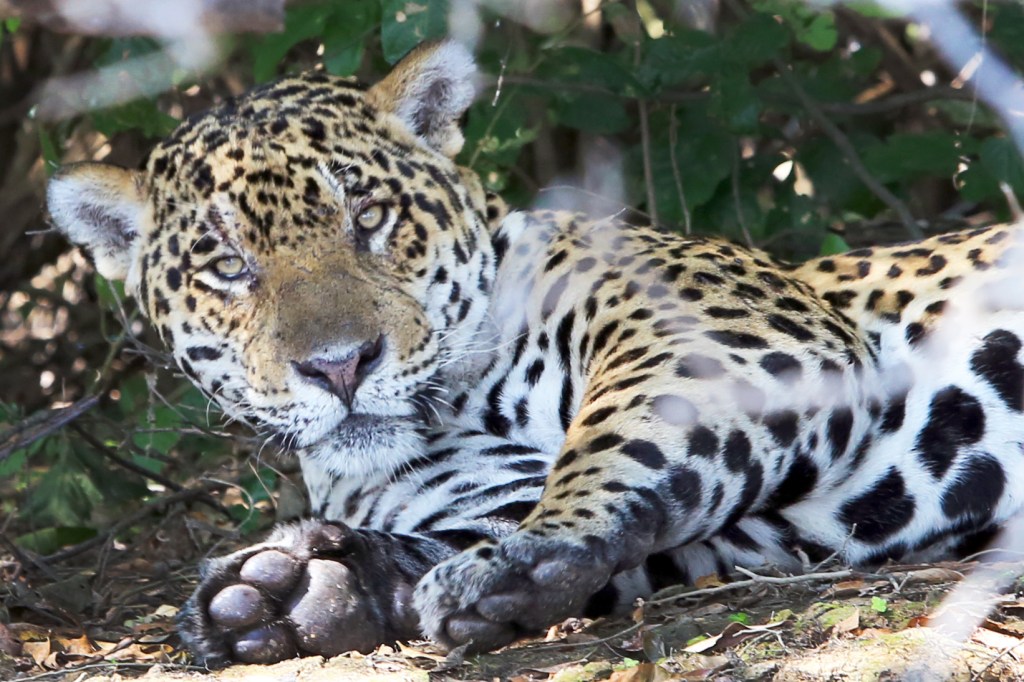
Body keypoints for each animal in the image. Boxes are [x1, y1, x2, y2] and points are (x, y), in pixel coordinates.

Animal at [46, 40, 1024, 666]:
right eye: (227, 266)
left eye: (371, 218)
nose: (340, 365)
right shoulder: (503, 501)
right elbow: (446, 544)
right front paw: (295, 590)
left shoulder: (728, 323)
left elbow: (619, 441)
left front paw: (532, 552)